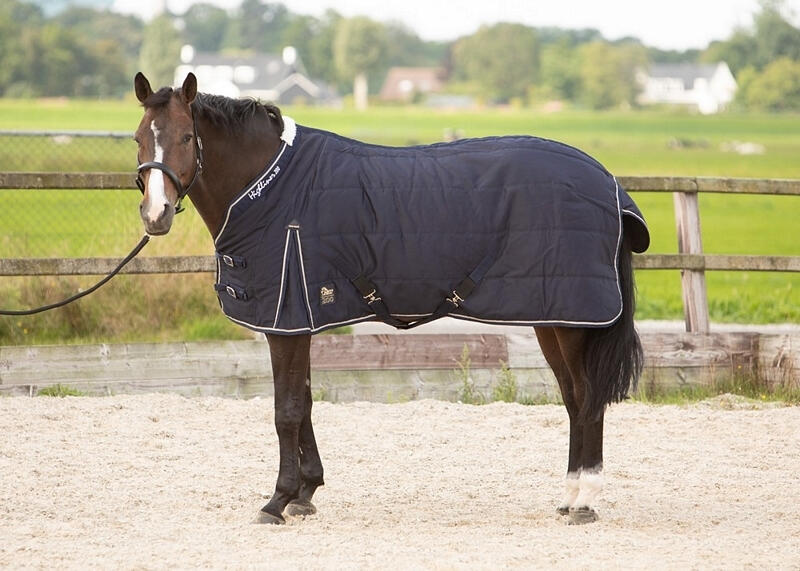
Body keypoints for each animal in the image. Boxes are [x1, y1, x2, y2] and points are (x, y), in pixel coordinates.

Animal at [133, 72, 649, 526]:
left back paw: (585, 502)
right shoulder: (301, 321)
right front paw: (306, 492)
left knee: (588, 400)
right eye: (139, 138)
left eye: (186, 138)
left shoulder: (287, 323)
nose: (156, 215)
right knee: (574, 399)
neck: (273, 188)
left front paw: (278, 500)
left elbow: (287, 411)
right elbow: (306, 403)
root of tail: (608, 183)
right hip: (552, 318)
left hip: (574, 323)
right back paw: (569, 498)